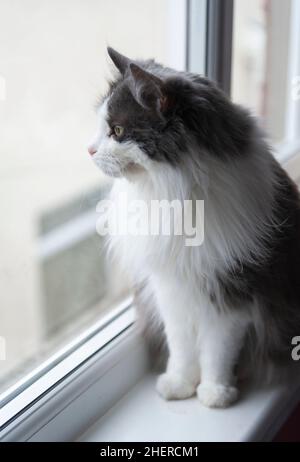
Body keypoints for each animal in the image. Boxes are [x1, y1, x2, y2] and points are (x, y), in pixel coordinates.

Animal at [88, 47, 300, 408]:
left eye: (117, 131)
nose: (89, 150)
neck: (178, 193)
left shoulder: (231, 294)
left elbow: (217, 351)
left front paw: (216, 394)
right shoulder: (171, 288)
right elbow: (182, 347)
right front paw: (179, 385)